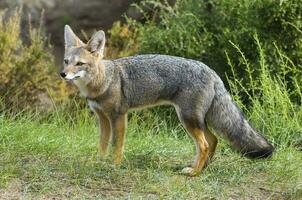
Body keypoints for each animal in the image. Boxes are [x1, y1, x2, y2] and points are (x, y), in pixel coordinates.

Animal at [59, 25, 274, 177]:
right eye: (66, 61)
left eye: (80, 64)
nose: (62, 74)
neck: (104, 81)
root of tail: (211, 71)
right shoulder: (103, 118)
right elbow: (102, 144)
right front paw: (99, 162)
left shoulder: (119, 116)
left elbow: (117, 145)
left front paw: (114, 166)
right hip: (196, 120)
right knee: (213, 140)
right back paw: (202, 168)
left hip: (188, 119)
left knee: (205, 144)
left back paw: (195, 172)